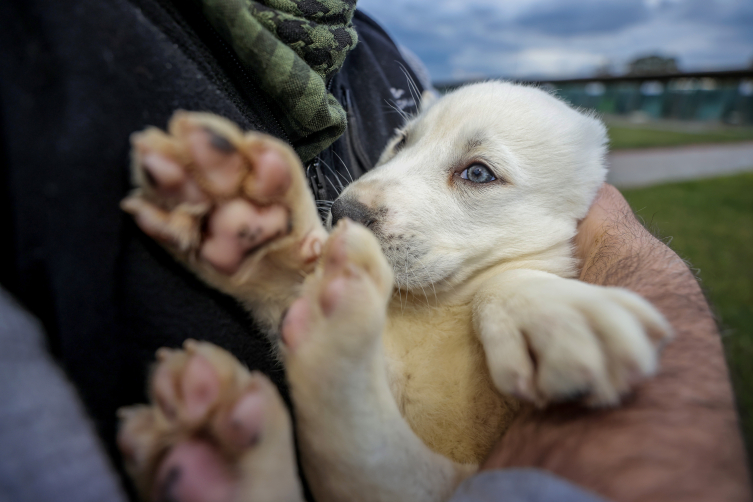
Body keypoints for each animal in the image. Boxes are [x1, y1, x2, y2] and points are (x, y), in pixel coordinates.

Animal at [120, 80, 672, 500]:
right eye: (401, 142)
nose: (344, 213)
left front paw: (551, 310)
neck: (439, 307)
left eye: (478, 172)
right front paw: (274, 248)